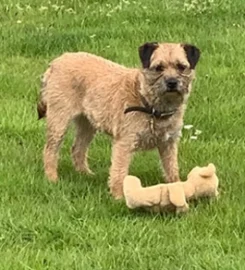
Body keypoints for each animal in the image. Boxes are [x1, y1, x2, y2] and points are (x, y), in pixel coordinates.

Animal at [37, 41, 200, 198]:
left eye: (181, 67)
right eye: (158, 68)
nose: (172, 82)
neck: (150, 105)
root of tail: (56, 62)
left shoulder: (168, 143)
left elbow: (171, 167)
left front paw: (178, 187)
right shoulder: (124, 143)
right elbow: (119, 171)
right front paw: (118, 197)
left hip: (88, 124)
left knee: (78, 148)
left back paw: (85, 174)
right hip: (59, 120)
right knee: (50, 150)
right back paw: (52, 178)